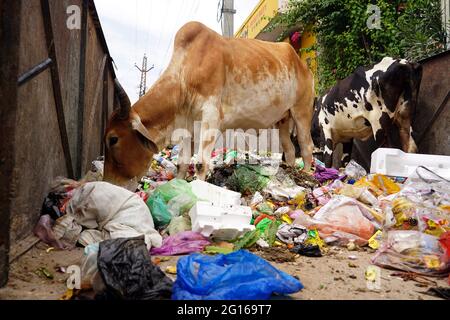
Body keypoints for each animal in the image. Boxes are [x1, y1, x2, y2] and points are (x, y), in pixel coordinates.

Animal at [103, 21, 312, 185]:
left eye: (113, 139)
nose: (108, 183)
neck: (184, 76)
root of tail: (301, 63)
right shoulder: (188, 125)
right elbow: (182, 162)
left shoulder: (211, 115)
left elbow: (201, 163)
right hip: (282, 120)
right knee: (290, 149)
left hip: (302, 111)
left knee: (306, 145)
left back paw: (306, 174)